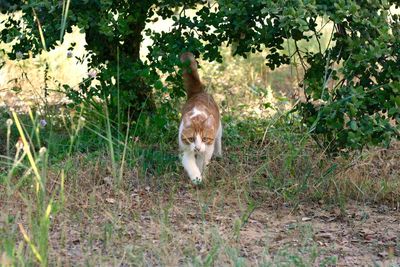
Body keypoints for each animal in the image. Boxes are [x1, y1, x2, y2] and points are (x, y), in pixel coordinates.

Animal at [179, 51, 222, 185]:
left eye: (204, 138)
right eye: (191, 138)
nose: (197, 148)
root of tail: (198, 92)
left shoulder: (207, 149)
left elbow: (202, 163)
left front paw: (203, 175)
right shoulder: (185, 150)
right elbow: (191, 164)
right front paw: (197, 177)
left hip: (219, 129)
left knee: (218, 139)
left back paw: (219, 154)